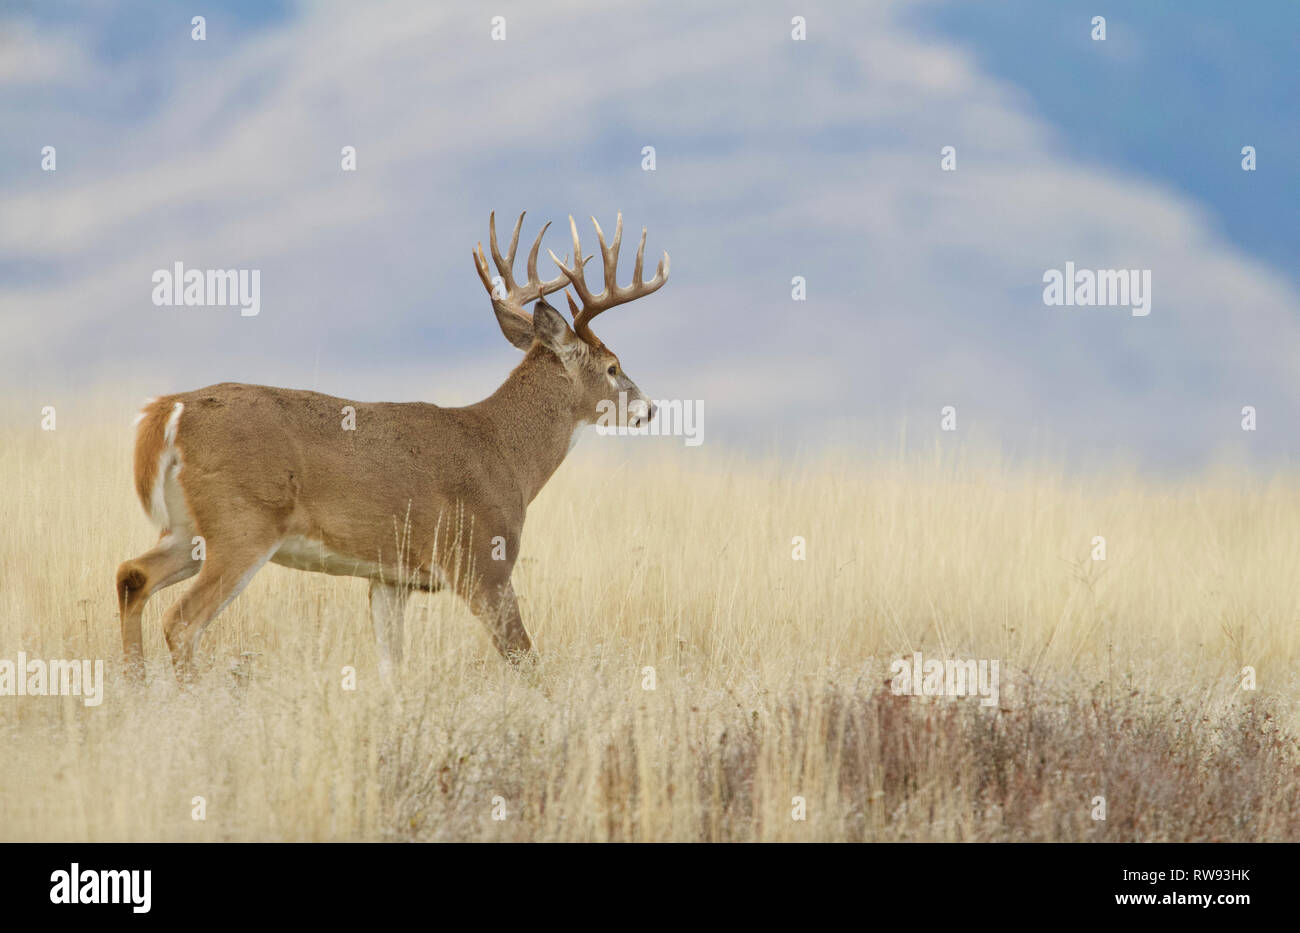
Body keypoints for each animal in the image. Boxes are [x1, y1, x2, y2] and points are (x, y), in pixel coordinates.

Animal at [115, 211, 668, 684]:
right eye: (614, 367)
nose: (651, 408)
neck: (506, 457)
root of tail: (170, 410)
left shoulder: (389, 578)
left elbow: (391, 667)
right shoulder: (480, 560)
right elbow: (527, 661)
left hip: (189, 528)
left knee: (132, 575)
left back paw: (137, 691)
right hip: (242, 524)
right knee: (181, 620)